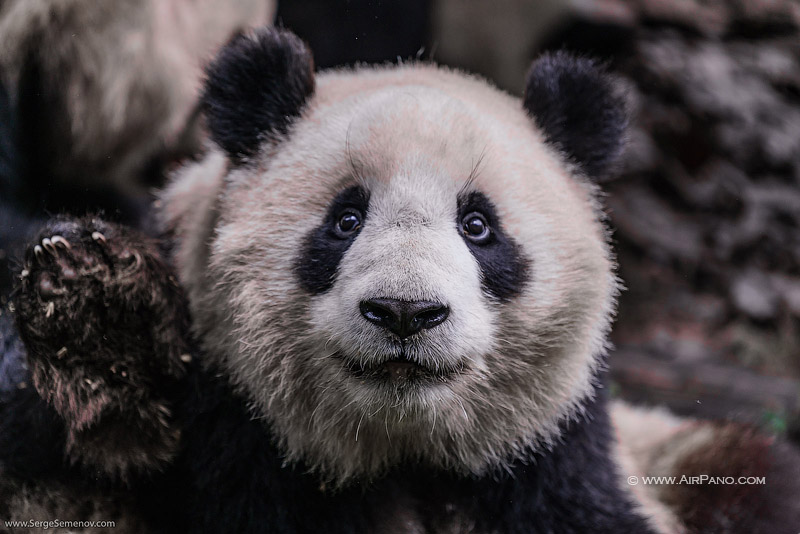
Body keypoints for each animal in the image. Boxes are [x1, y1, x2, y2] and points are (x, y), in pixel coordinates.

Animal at [4, 26, 800, 534]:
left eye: (478, 226)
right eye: (345, 219)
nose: (405, 312)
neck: (402, 450)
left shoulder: (554, 466)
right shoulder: (225, 433)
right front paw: (96, 312)